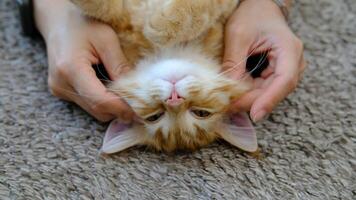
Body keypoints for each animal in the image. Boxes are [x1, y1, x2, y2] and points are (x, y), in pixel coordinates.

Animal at [70, 0, 258, 153]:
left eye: (201, 113)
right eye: (154, 117)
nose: (174, 99)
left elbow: (204, 6)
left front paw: (164, 24)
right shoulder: (125, 28)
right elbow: (109, 11)